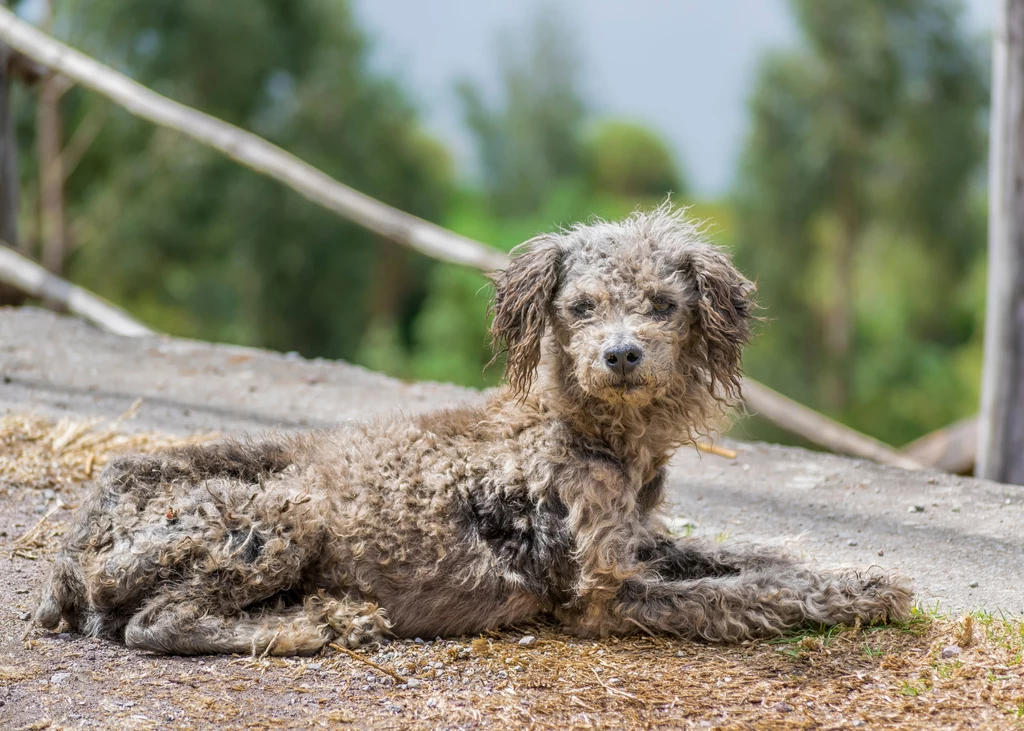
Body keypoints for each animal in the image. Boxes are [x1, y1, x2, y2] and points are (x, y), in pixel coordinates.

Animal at [32, 204, 913, 655]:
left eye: (663, 304)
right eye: (580, 306)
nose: (621, 354)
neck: (580, 431)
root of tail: (75, 547)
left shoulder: (642, 540)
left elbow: (759, 557)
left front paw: (848, 571)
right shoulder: (602, 597)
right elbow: (746, 593)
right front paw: (861, 593)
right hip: (280, 517)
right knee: (154, 623)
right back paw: (320, 622)